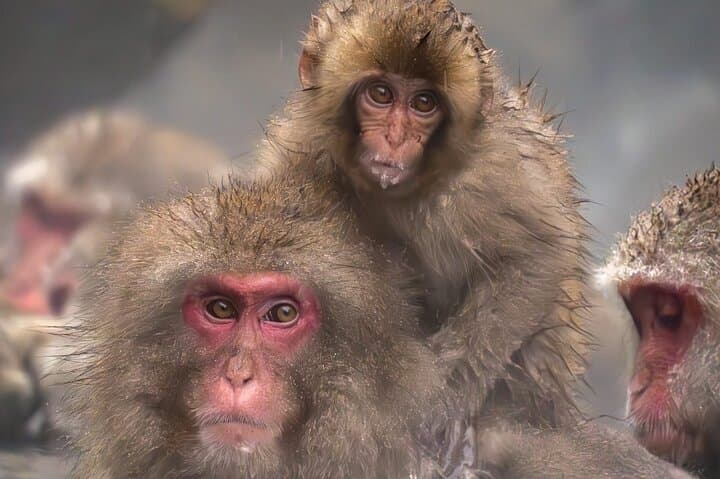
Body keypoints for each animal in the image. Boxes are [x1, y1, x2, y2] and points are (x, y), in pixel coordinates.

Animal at [262, 0, 590, 469]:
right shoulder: (303, 149)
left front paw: (445, 401)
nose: (396, 137)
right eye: (381, 95)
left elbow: (539, 255)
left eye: (423, 103)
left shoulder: (493, 173)